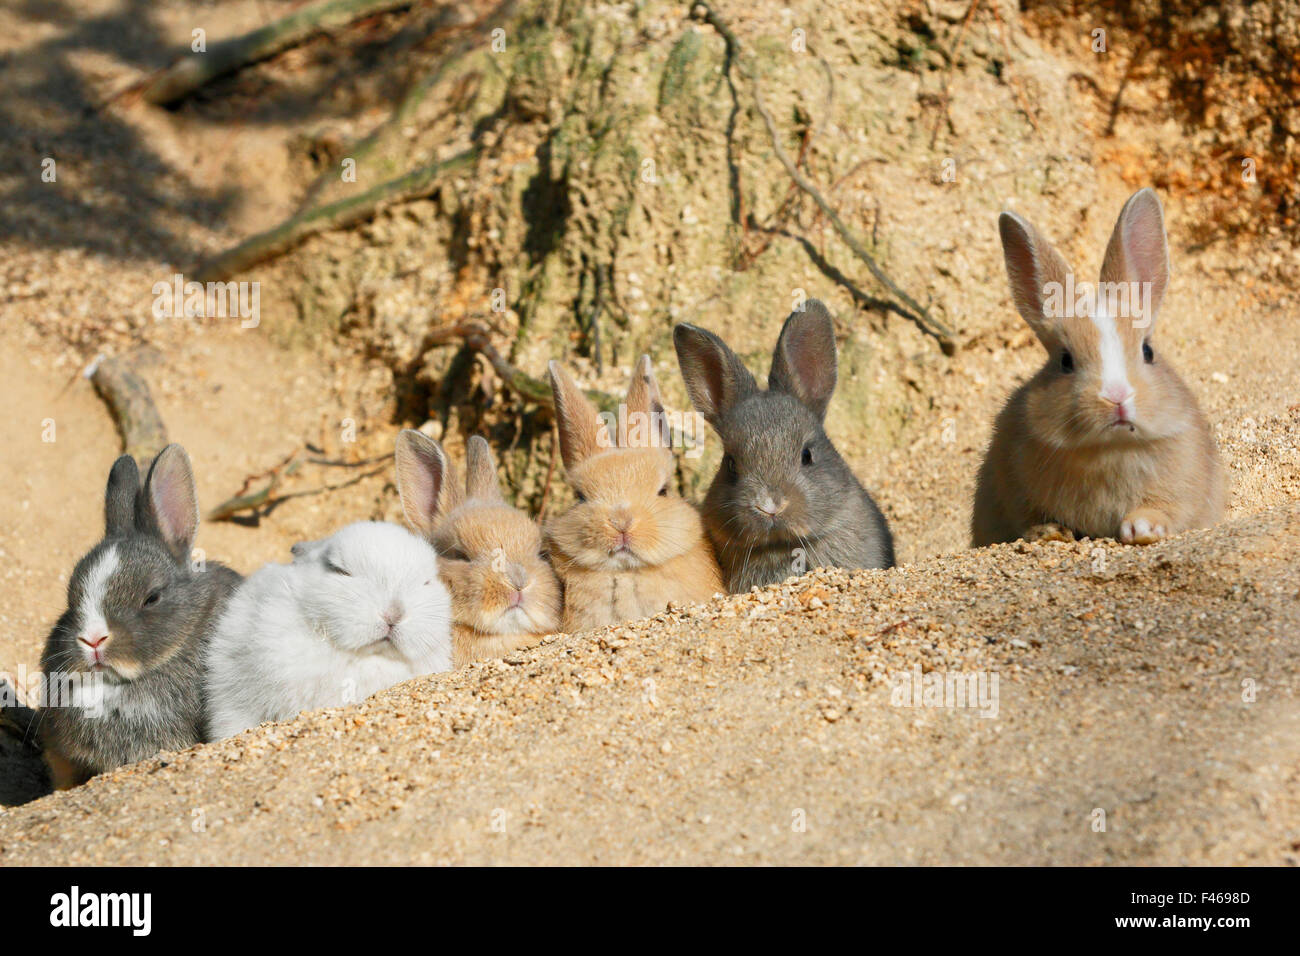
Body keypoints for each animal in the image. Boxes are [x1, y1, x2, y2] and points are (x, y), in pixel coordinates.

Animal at [972, 188, 1226, 547]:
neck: (1113, 447)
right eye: (1065, 361)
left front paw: (1141, 528)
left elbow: (1164, 508)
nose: (1116, 397)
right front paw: (1048, 531)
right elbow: (1029, 518)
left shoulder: (1185, 484)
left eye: (1148, 351)